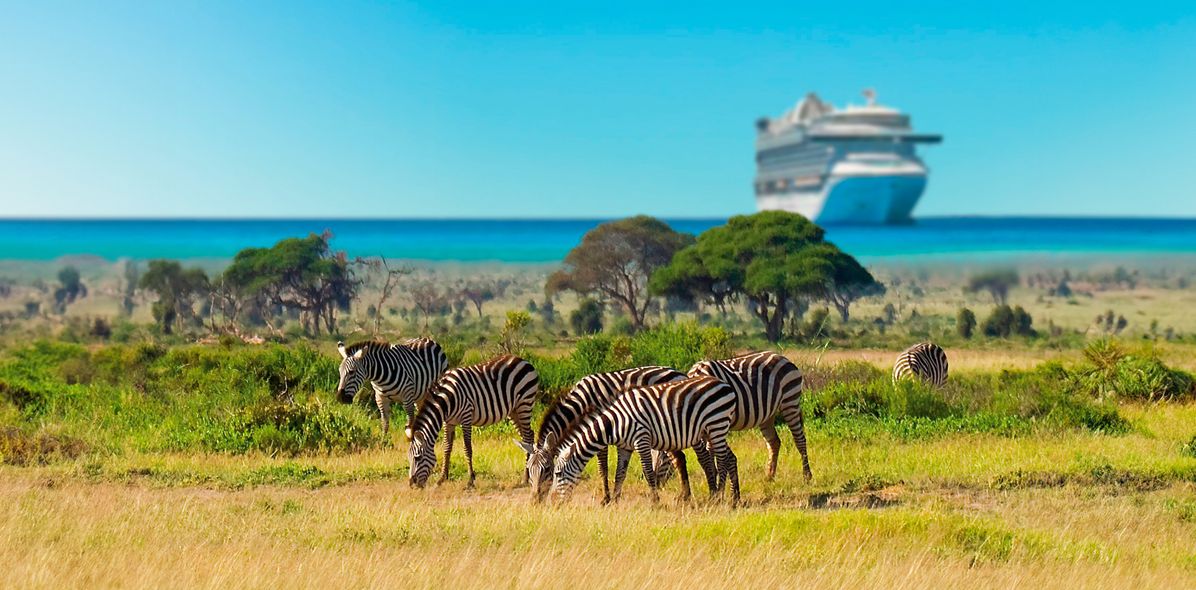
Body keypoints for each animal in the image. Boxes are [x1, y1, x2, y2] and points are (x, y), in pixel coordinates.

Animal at [408, 355, 538, 488]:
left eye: (417, 458)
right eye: (409, 458)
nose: (411, 484)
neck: (446, 401)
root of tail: (522, 360)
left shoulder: (466, 416)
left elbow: (467, 448)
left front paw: (470, 480)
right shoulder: (449, 422)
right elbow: (447, 448)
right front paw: (442, 478)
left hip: (524, 404)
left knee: (528, 437)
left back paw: (525, 478)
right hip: (514, 410)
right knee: (527, 436)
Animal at [516, 365, 711, 503]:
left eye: (547, 470)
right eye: (529, 470)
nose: (535, 501)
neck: (582, 402)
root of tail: (680, 373)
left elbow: (603, 467)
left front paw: (606, 498)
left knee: (699, 455)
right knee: (680, 458)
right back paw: (684, 495)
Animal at [550, 375, 740, 506]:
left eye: (557, 474)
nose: (555, 503)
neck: (615, 422)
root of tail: (725, 385)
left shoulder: (641, 439)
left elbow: (648, 471)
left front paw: (655, 502)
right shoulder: (625, 447)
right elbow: (620, 473)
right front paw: (615, 501)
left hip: (717, 425)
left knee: (722, 460)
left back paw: (719, 496)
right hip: (709, 431)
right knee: (721, 458)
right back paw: (723, 497)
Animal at [660, 351, 811, 482]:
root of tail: (782, 357)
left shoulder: (715, 421)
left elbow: (711, 453)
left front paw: (716, 480)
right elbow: (710, 453)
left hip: (790, 402)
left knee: (799, 439)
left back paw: (807, 476)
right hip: (768, 415)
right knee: (774, 442)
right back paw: (769, 476)